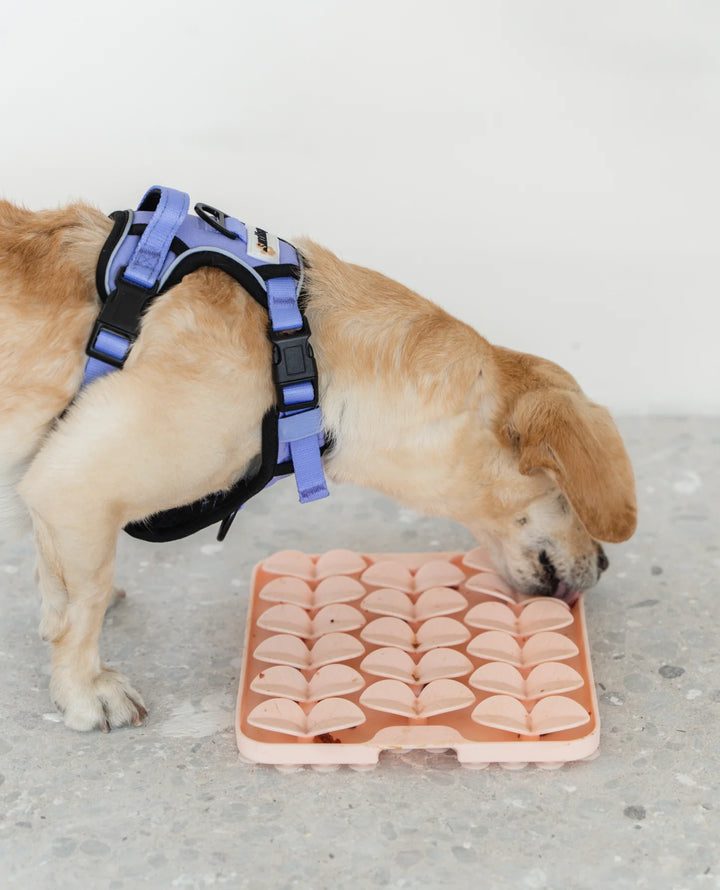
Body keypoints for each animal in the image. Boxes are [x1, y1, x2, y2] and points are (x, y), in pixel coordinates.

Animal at [0, 199, 636, 728]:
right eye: (570, 496)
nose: (606, 565)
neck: (299, 344)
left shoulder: (49, 486)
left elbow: (60, 581)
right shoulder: (73, 485)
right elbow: (84, 603)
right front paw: (84, 690)